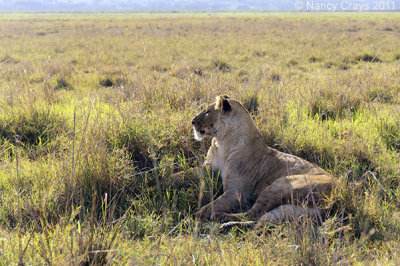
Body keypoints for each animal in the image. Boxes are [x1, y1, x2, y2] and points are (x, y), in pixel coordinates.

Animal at [189, 95, 332, 229]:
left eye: (207, 111)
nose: (192, 121)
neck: (222, 143)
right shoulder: (205, 168)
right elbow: (186, 173)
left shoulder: (237, 192)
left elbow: (213, 204)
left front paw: (195, 215)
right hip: (288, 209)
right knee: (260, 221)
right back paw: (226, 224)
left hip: (280, 184)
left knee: (253, 213)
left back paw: (219, 217)